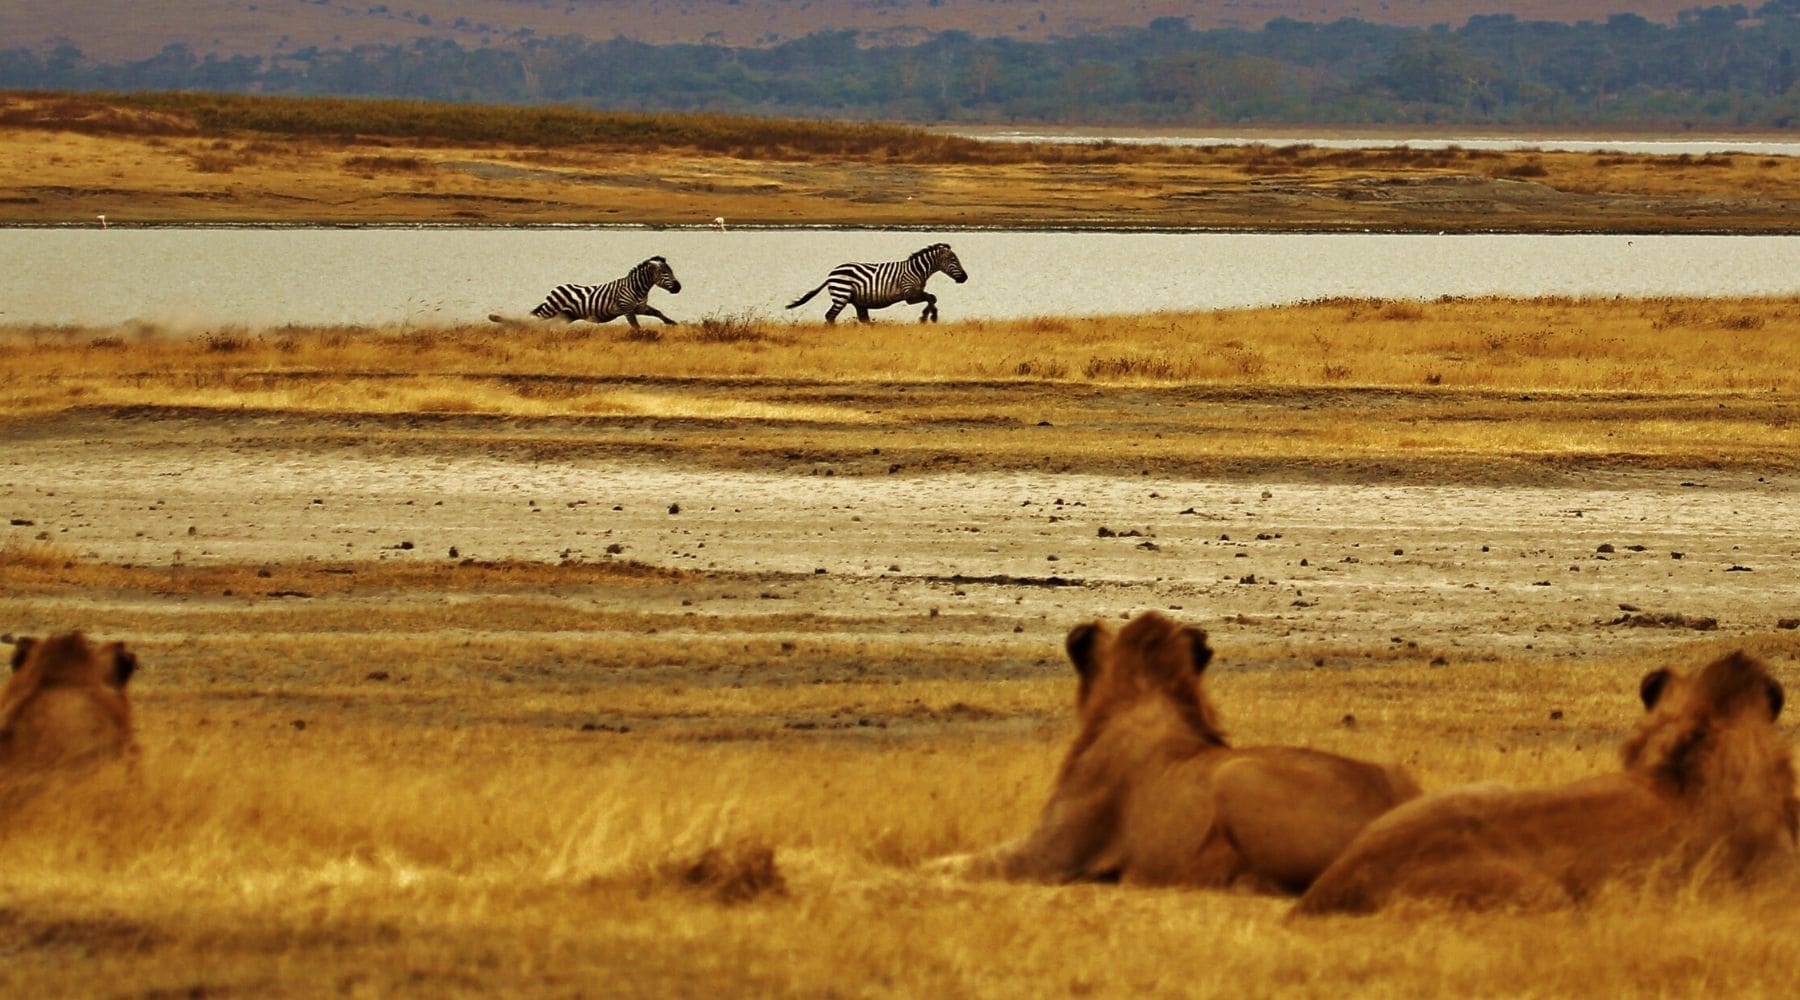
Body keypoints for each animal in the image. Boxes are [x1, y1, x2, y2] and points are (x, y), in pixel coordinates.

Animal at [493, 253, 680, 327]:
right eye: (665, 273)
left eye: (671, 271)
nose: (679, 288)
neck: (636, 288)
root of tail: (555, 288)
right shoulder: (627, 308)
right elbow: (636, 327)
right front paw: (642, 337)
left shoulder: (640, 307)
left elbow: (658, 313)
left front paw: (672, 323)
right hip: (551, 309)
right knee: (535, 318)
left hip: (566, 315)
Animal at [781, 242, 964, 323]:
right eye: (953, 260)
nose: (965, 278)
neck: (917, 270)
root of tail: (830, 274)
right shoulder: (909, 295)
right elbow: (931, 297)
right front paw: (928, 317)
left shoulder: (914, 294)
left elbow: (931, 297)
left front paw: (927, 316)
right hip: (841, 295)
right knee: (830, 316)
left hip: (857, 301)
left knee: (862, 319)